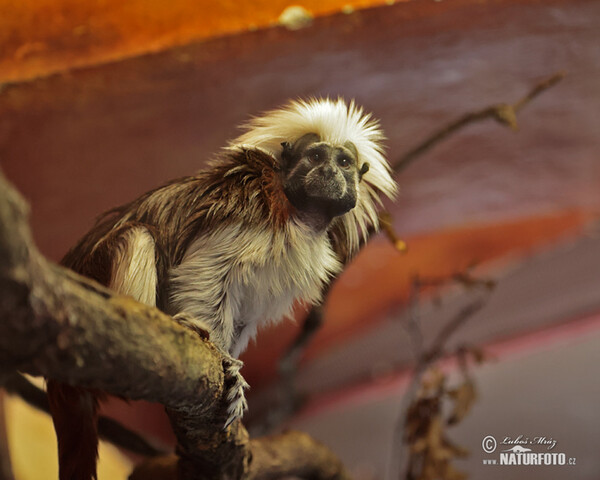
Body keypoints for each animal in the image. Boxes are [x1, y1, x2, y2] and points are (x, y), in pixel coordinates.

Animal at [44, 95, 396, 478]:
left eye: (343, 162)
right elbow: (206, 274)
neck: (299, 213)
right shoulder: (251, 208)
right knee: (136, 236)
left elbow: (243, 312)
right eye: (316, 156)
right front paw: (224, 361)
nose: (330, 172)